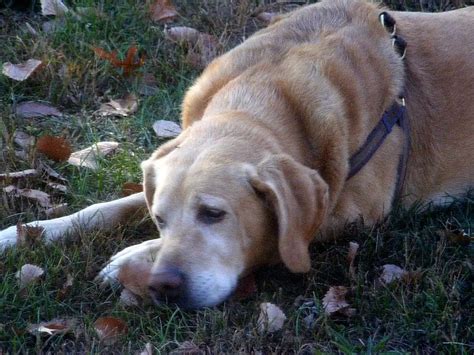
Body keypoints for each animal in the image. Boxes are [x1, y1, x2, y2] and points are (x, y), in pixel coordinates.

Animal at [0, 0, 474, 308]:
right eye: (161, 219)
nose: (164, 286)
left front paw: (131, 259)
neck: (266, 91)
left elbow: (273, 237)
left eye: (214, 214)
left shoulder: (358, 214)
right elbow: (106, 207)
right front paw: (26, 233)